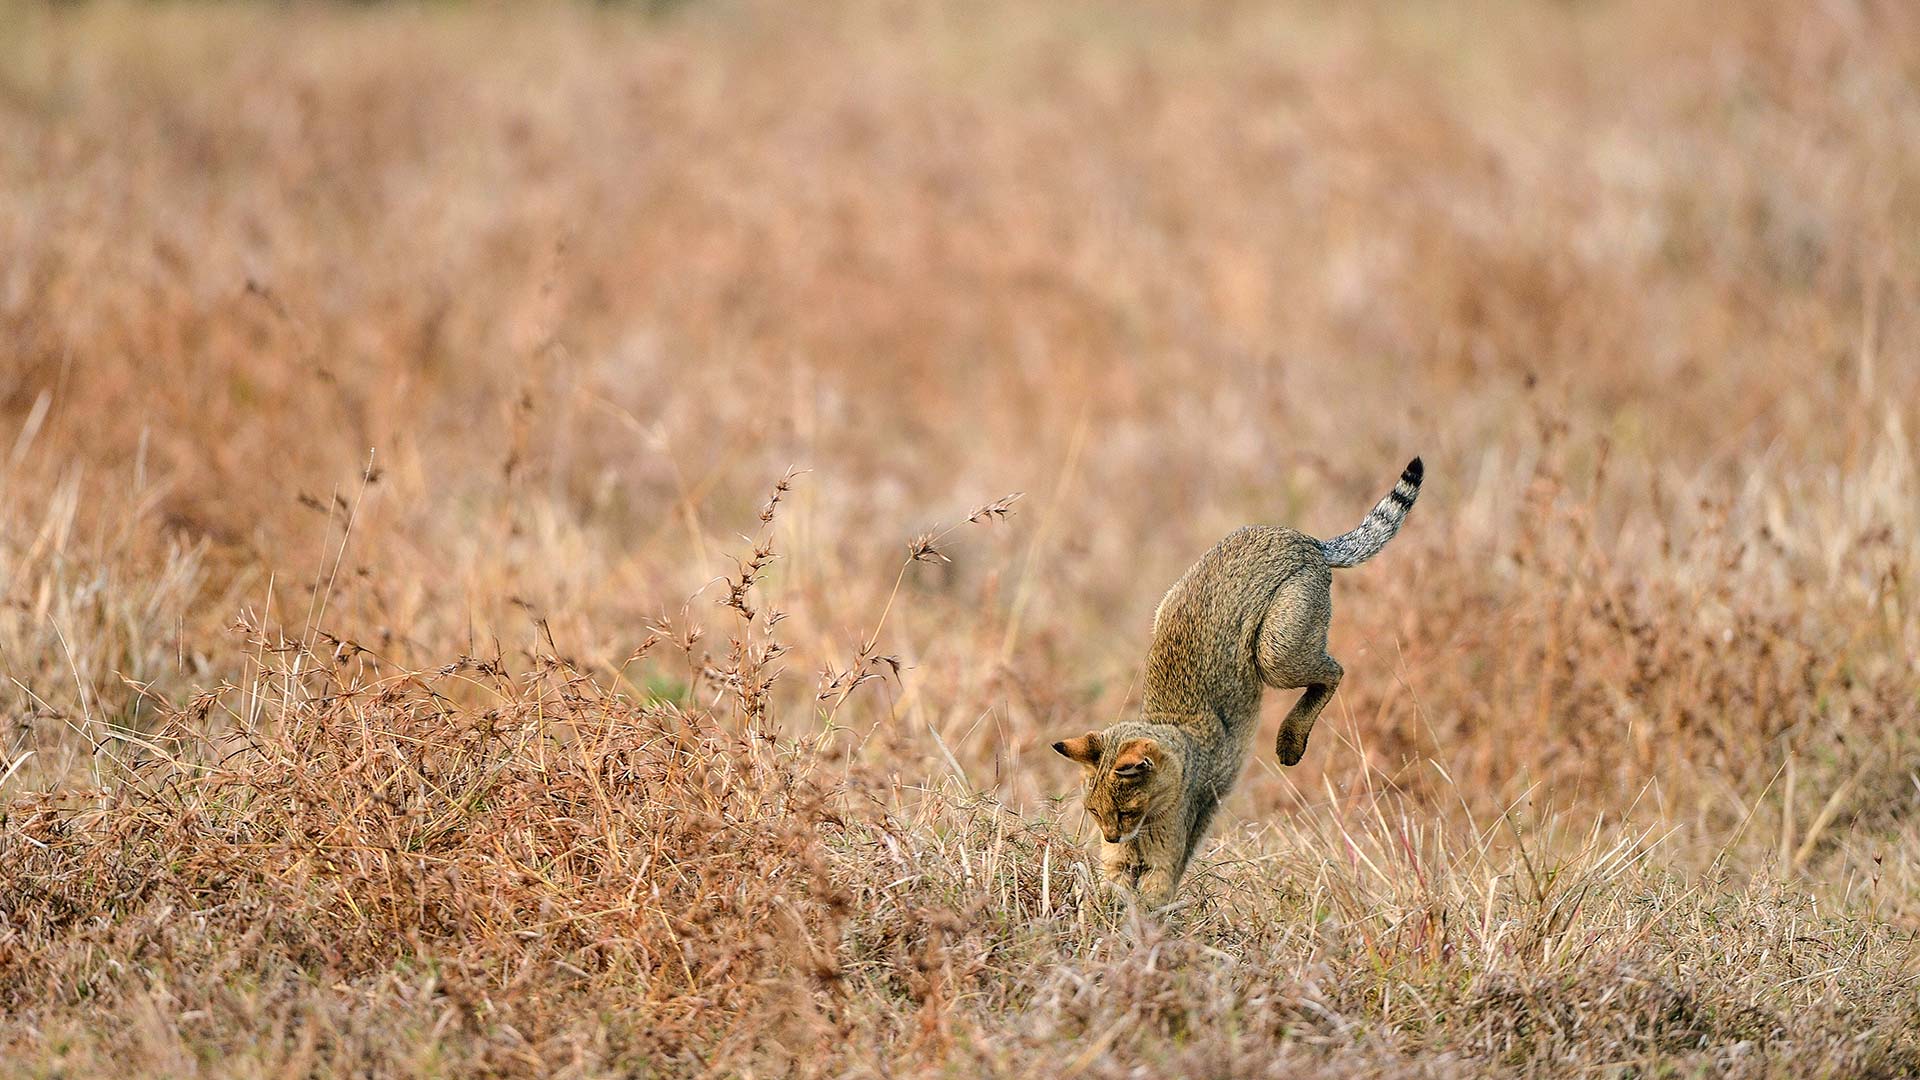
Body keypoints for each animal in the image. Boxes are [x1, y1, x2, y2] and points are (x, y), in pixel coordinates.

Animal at [1059, 453, 1420, 899]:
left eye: (1127, 811)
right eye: (1092, 811)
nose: (1110, 836)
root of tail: (1301, 537)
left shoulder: (1166, 861)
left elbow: (1149, 905)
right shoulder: (1117, 866)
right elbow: (1108, 900)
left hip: (1277, 654)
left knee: (1335, 669)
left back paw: (1291, 741)